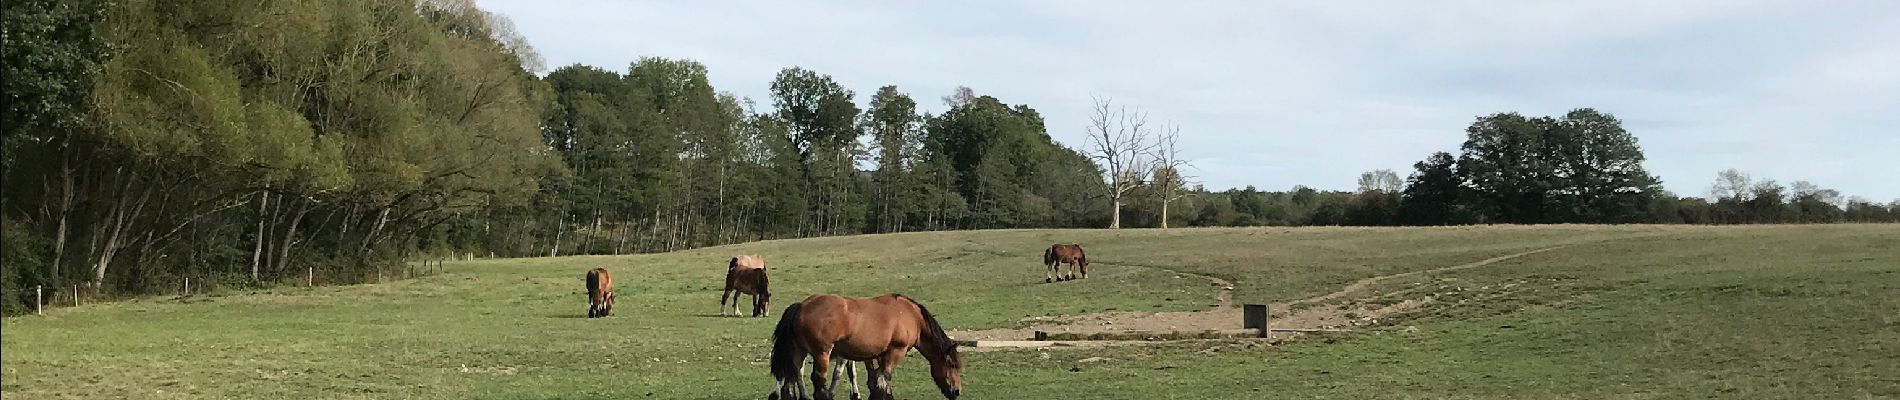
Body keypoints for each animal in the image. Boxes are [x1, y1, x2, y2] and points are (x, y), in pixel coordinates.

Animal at [767, 293, 965, 400]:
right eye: (952, 365)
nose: (957, 391)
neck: (912, 316)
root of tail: (801, 306)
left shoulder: (877, 355)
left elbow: (876, 380)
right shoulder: (895, 351)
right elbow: (883, 378)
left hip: (798, 352)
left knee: (791, 380)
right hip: (822, 353)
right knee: (818, 382)